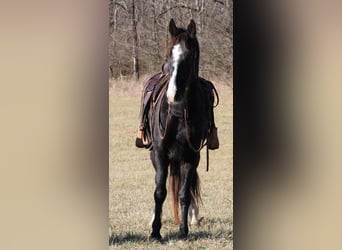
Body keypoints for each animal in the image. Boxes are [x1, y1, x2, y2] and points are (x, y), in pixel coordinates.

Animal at [150, 18, 211, 239]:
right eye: (169, 53)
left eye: (190, 55)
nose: (173, 94)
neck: (178, 112)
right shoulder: (160, 154)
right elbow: (159, 192)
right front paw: (155, 231)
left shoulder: (191, 157)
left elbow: (185, 194)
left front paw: (183, 230)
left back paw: (193, 216)